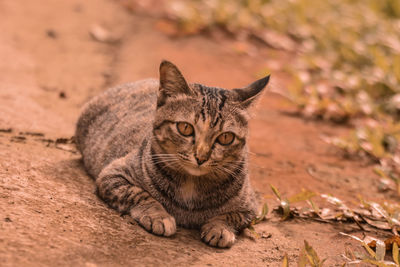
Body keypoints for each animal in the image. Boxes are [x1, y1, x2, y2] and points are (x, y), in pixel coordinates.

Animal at [75, 61, 268, 249]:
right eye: (185, 128)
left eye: (226, 137)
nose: (201, 157)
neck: (191, 184)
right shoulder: (113, 174)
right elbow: (139, 194)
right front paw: (158, 215)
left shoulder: (251, 206)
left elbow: (232, 216)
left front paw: (219, 228)